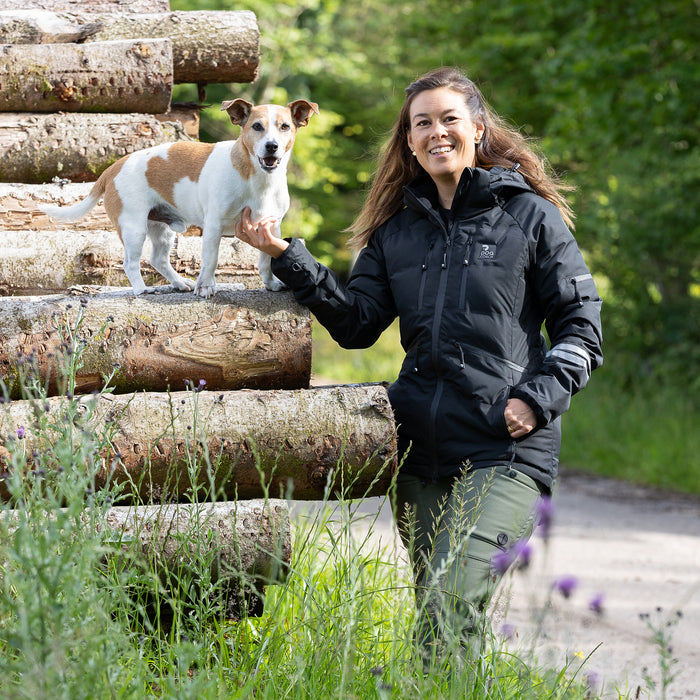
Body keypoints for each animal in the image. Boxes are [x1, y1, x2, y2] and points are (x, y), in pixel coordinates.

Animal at [41, 98, 320, 296]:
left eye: (285, 127)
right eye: (257, 127)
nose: (272, 146)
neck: (258, 180)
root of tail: (113, 168)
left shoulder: (270, 227)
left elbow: (266, 260)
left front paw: (271, 284)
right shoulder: (214, 226)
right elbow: (210, 260)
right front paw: (206, 287)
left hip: (161, 230)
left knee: (158, 259)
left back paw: (178, 283)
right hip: (133, 227)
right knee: (130, 262)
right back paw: (142, 289)